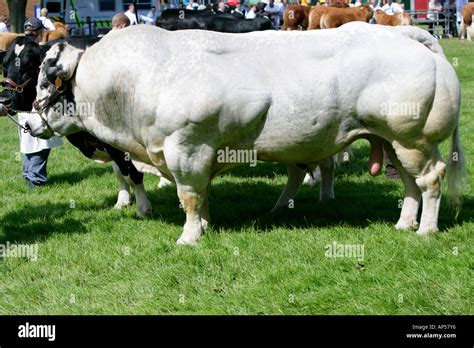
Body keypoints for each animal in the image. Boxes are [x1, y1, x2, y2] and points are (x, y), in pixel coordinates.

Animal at [26, 22, 466, 245]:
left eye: (46, 80)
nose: (28, 123)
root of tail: (409, 35)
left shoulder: (187, 148)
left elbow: (189, 197)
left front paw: (189, 237)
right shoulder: (197, 155)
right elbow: (202, 196)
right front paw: (204, 226)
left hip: (413, 139)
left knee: (430, 180)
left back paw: (426, 229)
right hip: (391, 141)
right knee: (408, 183)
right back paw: (404, 224)